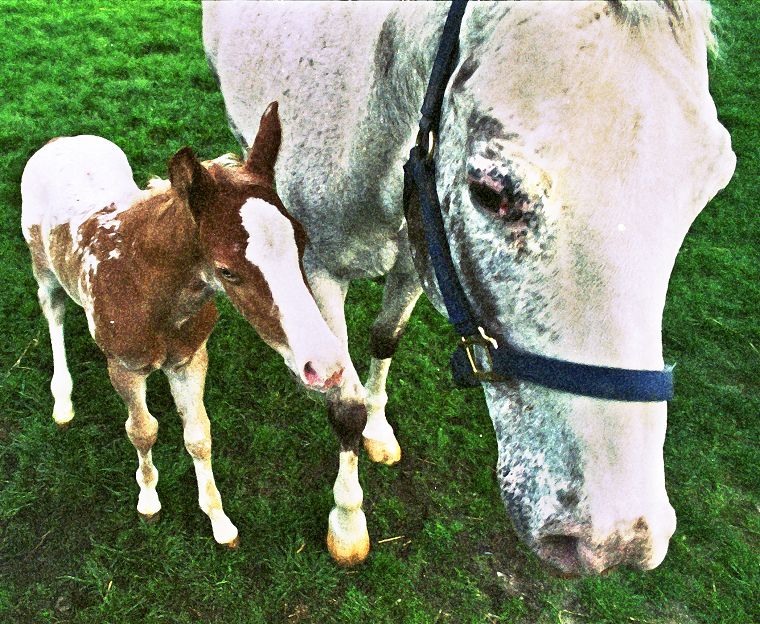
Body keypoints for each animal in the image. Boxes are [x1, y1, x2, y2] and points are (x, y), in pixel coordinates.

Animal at [21, 102, 344, 544]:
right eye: (227, 271)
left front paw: (219, 520)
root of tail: (61, 141)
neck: (148, 287)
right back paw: (63, 401)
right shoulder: (124, 367)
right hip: (42, 267)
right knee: (52, 312)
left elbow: (199, 436)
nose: (326, 367)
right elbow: (142, 430)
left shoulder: (190, 359)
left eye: (303, 241)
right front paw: (149, 502)